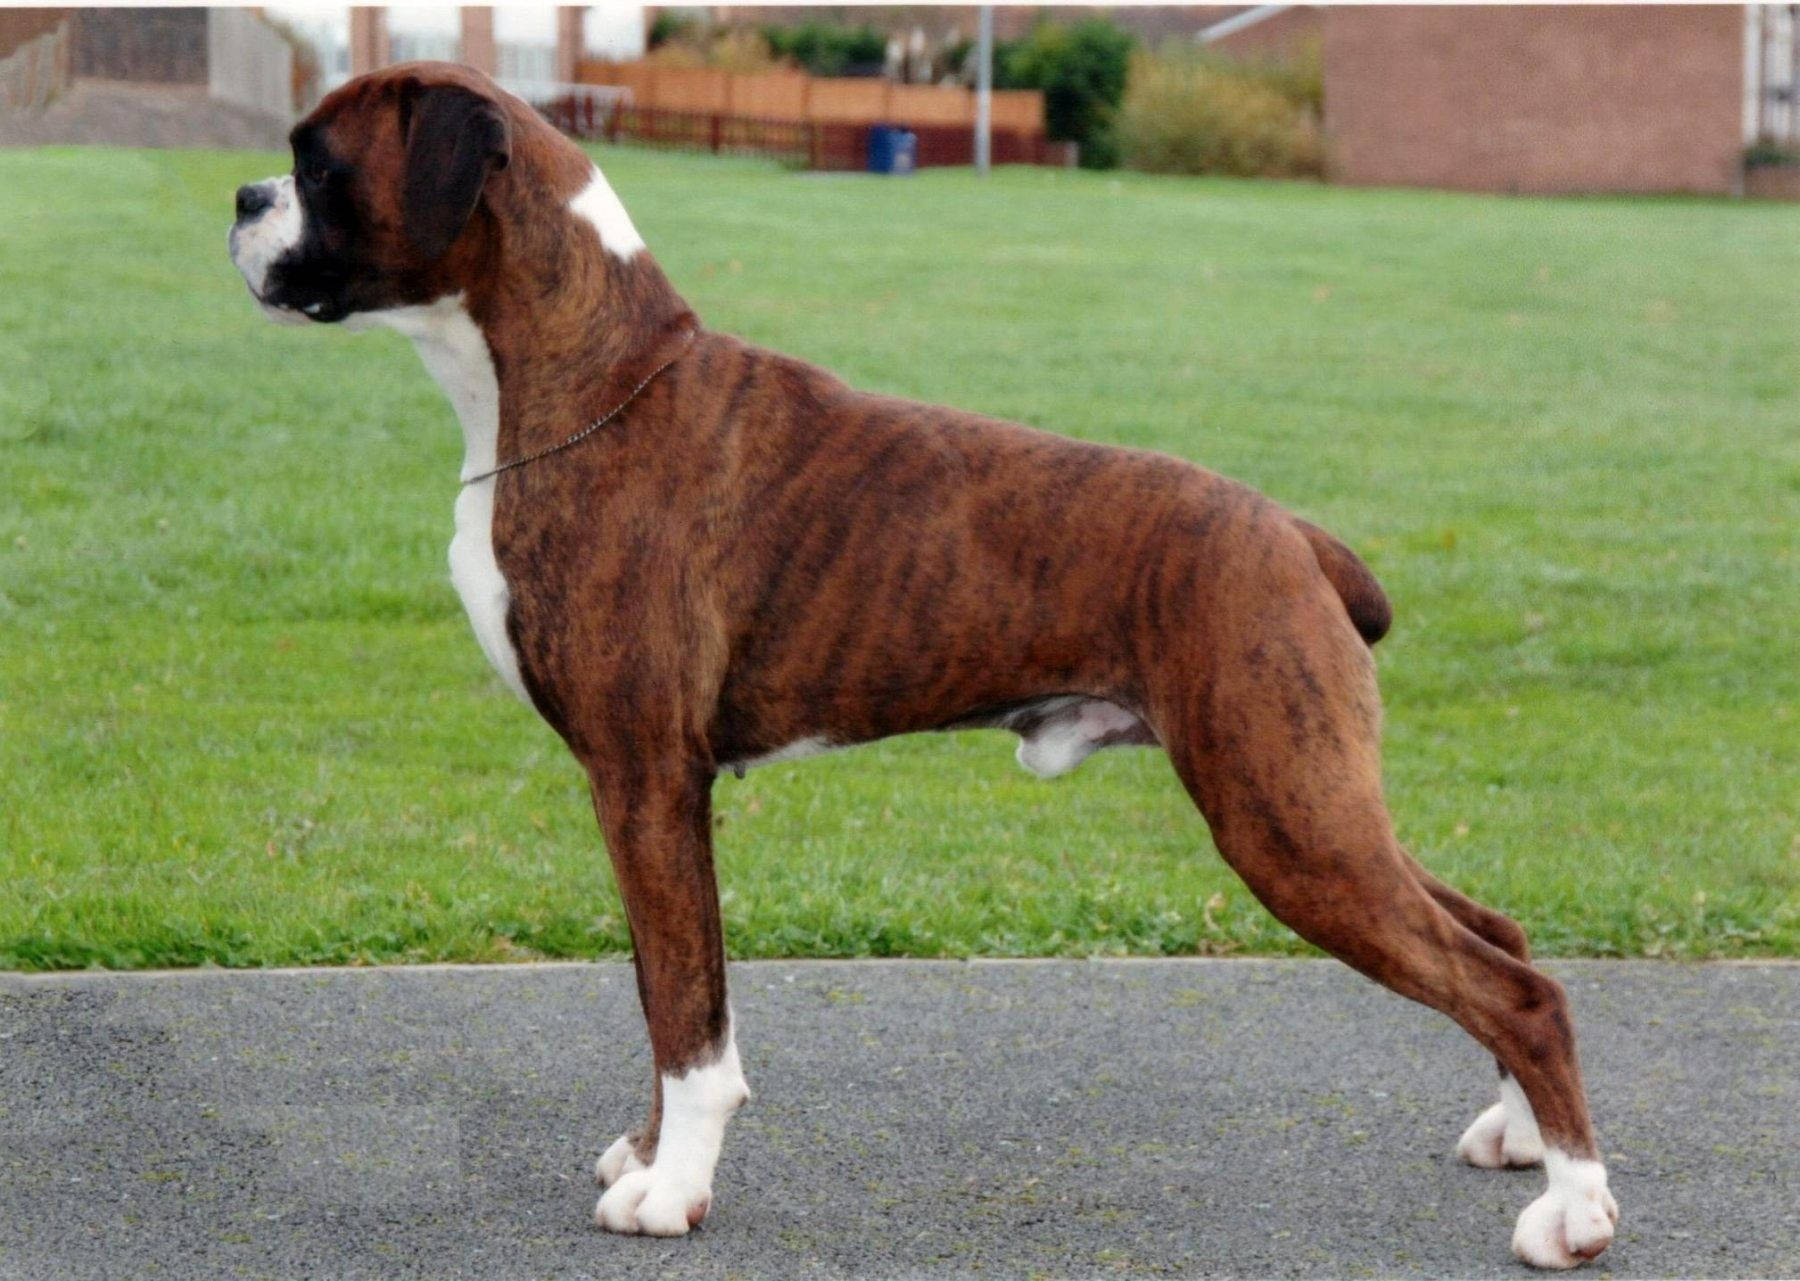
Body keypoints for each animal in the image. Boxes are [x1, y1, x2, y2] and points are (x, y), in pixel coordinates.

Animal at [225, 65, 1620, 1266]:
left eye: (317, 162)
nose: (239, 198)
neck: (581, 380)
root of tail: (1291, 534)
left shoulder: (646, 776)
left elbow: (685, 1012)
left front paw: (674, 1190)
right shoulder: (646, 796)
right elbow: (665, 985)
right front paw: (648, 1154)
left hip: (1283, 818)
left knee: (1515, 988)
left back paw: (1576, 1214)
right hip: (1312, 797)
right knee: (1496, 934)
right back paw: (1518, 1141)